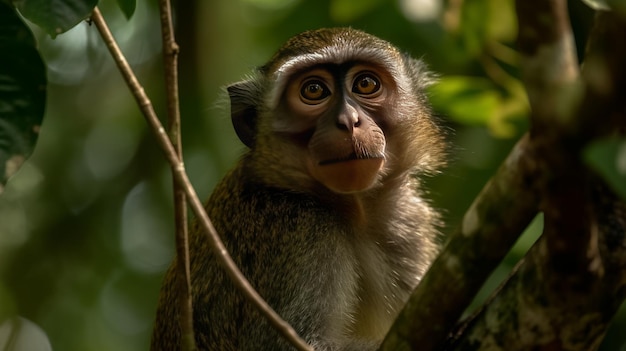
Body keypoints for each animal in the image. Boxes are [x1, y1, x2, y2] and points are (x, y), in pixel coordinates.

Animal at [150, 28, 444, 351]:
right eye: (314, 90)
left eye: (366, 84)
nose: (348, 121)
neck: (354, 212)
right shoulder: (299, 231)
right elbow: (289, 344)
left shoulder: (406, 223)